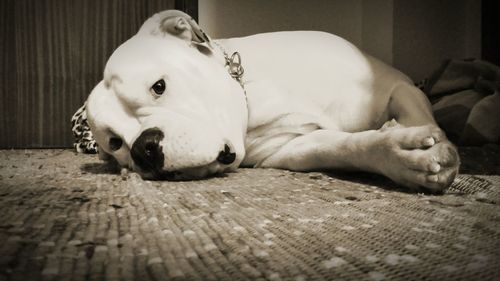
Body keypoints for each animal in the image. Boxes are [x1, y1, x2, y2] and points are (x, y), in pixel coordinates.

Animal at [85, 9, 458, 192]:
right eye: (115, 143)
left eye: (158, 86)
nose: (142, 149)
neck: (253, 93)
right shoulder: (291, 146)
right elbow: (344, 146)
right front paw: (396, 153)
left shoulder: (400, 87)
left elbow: (418, 114)